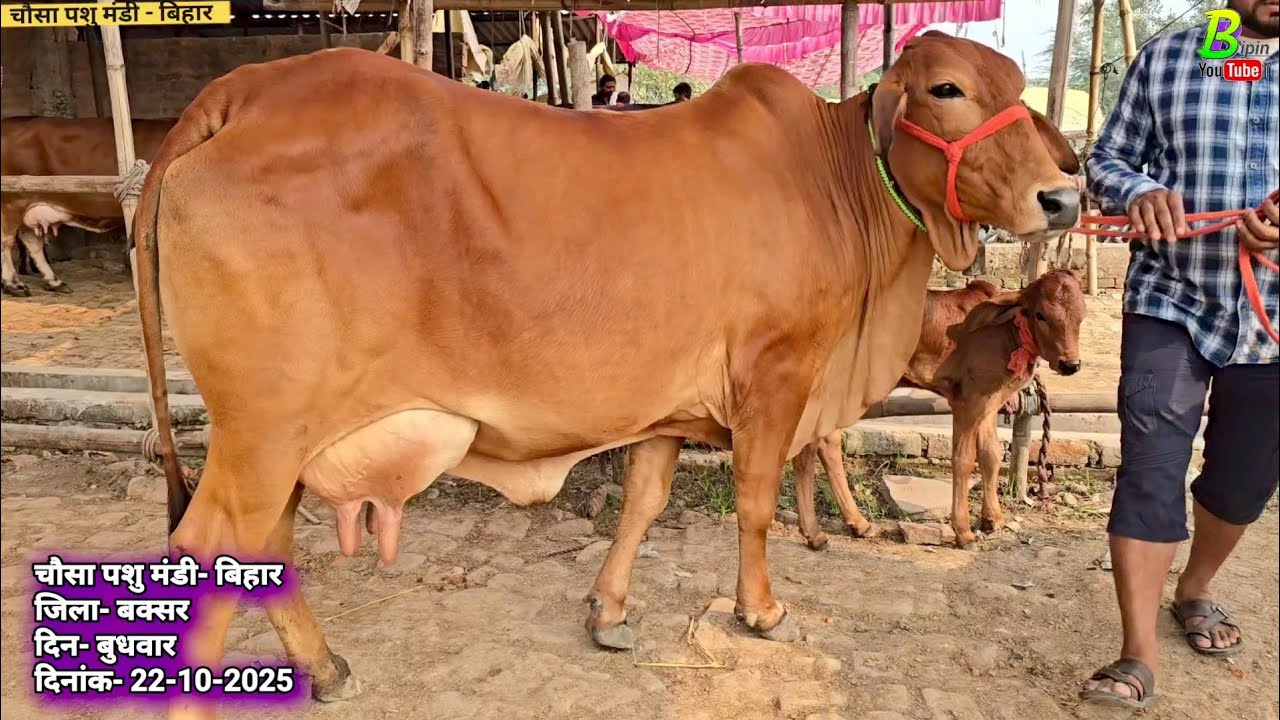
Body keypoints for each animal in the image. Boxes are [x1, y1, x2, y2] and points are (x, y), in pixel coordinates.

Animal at [792, 269, 1087, 550]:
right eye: (1040, 315)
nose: (1070, 364)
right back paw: (818, 533)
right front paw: (963, 531)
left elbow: (991, 456)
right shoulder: (968, 402)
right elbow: (964, 459)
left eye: (1082, 315)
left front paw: (993, 519)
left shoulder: (989, 402)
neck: (1006, 332)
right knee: (810, 448)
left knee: (824, 443)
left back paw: (855, 524)